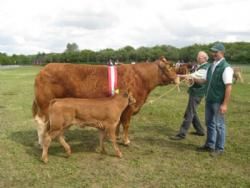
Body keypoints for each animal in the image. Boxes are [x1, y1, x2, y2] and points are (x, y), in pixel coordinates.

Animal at [33, 56, 178, 146]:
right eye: (170, 67)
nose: (178, 78)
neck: (141, 79)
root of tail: (44, 69)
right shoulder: (130, 107)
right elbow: (126, 124)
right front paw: (126, 141)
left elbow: (119, 122)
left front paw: (116, 137)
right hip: (45, 102)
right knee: (41, 121)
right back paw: (41, 142)